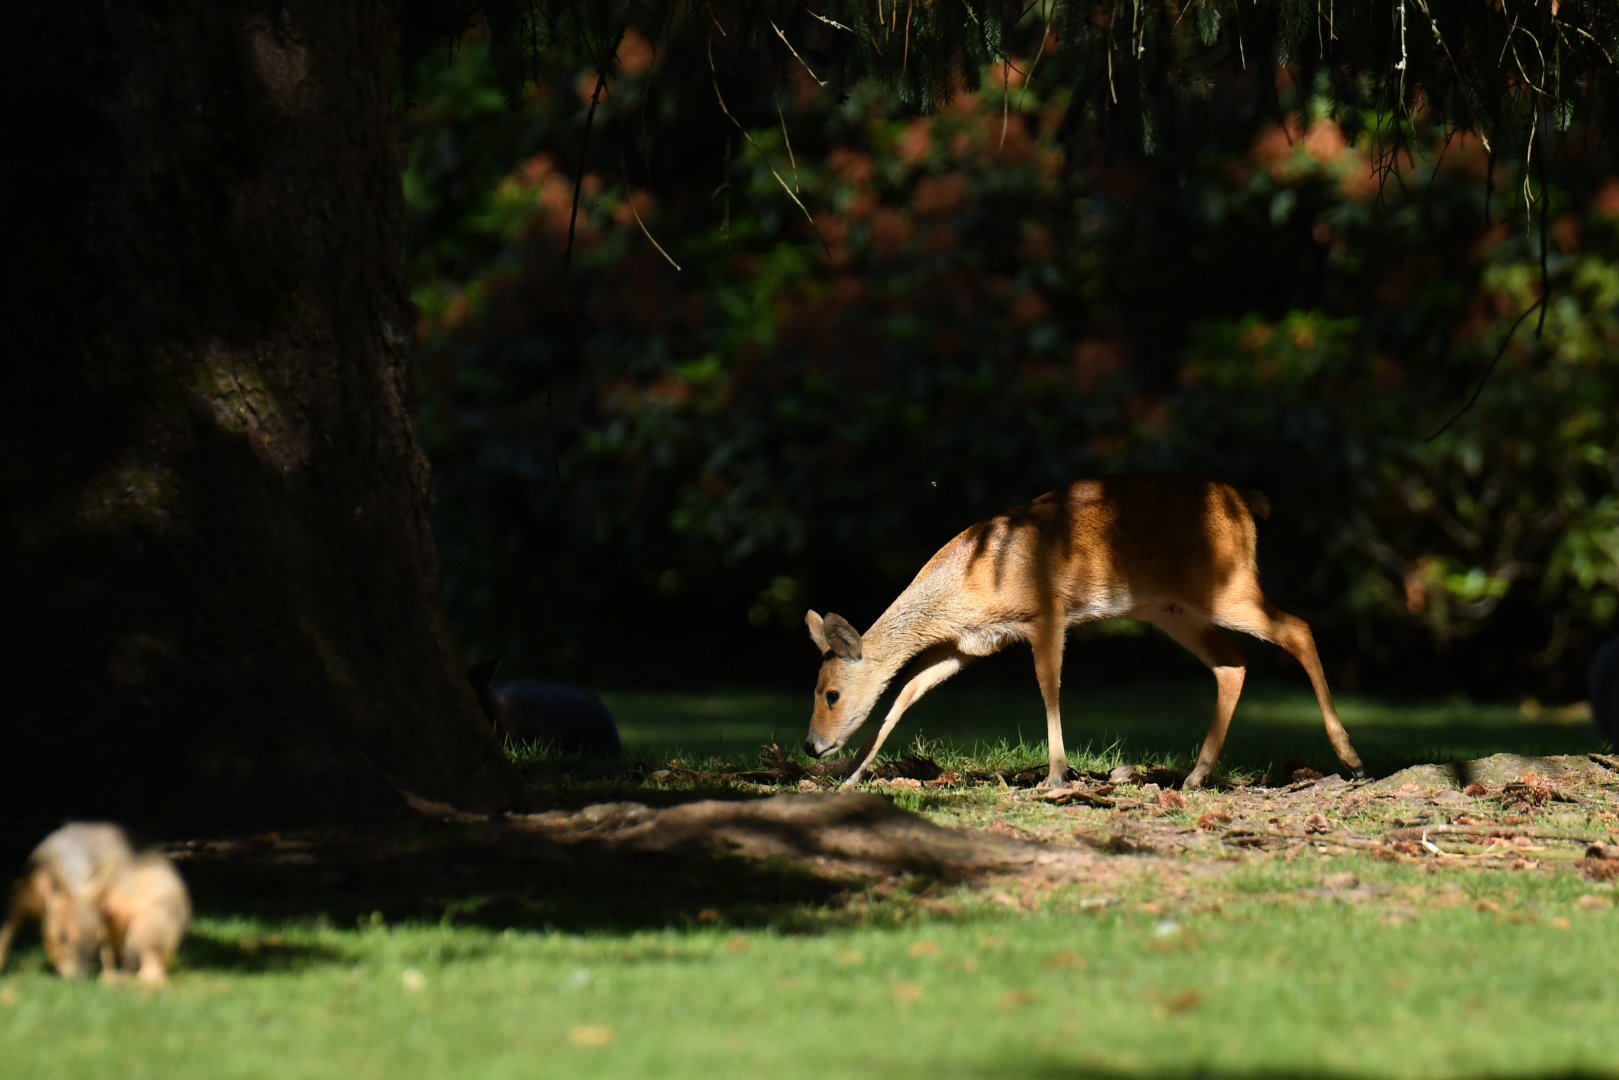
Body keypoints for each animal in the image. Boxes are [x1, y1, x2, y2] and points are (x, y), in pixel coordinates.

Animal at [803, 475, 1364, 791]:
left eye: (831, 694)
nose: (811, 746)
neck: (968, 580)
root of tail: (1247, 502)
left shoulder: (1047, 613)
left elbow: (1049, 687)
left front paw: (1055, 777)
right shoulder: (968, 646)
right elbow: (905, 694)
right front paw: (853, 775)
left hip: (1228, 586)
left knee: (1298, 629)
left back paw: (1350, 756)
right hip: (1171, 610)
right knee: (1233, 663)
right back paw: (1197, 775)